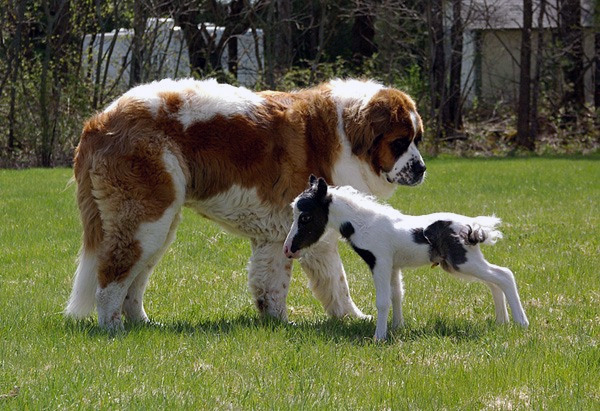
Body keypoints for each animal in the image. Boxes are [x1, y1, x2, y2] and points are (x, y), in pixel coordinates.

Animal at [65, 78, 426, 330]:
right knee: (111, 278)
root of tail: (99, 120)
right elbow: (337, 282)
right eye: (400, 142)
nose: (422, 168)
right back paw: (113, 329)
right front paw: (353, 318)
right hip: (146, 220)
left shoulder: (278, 235)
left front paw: (277, 323)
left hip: (159, 227)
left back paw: (143, 325)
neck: (345, 134)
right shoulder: (314, 231)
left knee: (134, 281)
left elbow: (273, 283)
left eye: (418, 139)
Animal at [284, 176, 529, 340]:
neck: (364, 224)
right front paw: (396, 327)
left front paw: (379, 337)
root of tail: (473, 226)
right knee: (494, 281)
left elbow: (383, 300)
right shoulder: (393, 266)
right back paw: (501, 321)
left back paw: (522, 323)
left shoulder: (380, 262)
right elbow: (397, 295)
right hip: (462, 264)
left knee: (504, 275)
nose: (288, 249)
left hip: (463, 262)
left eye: (305, 217)